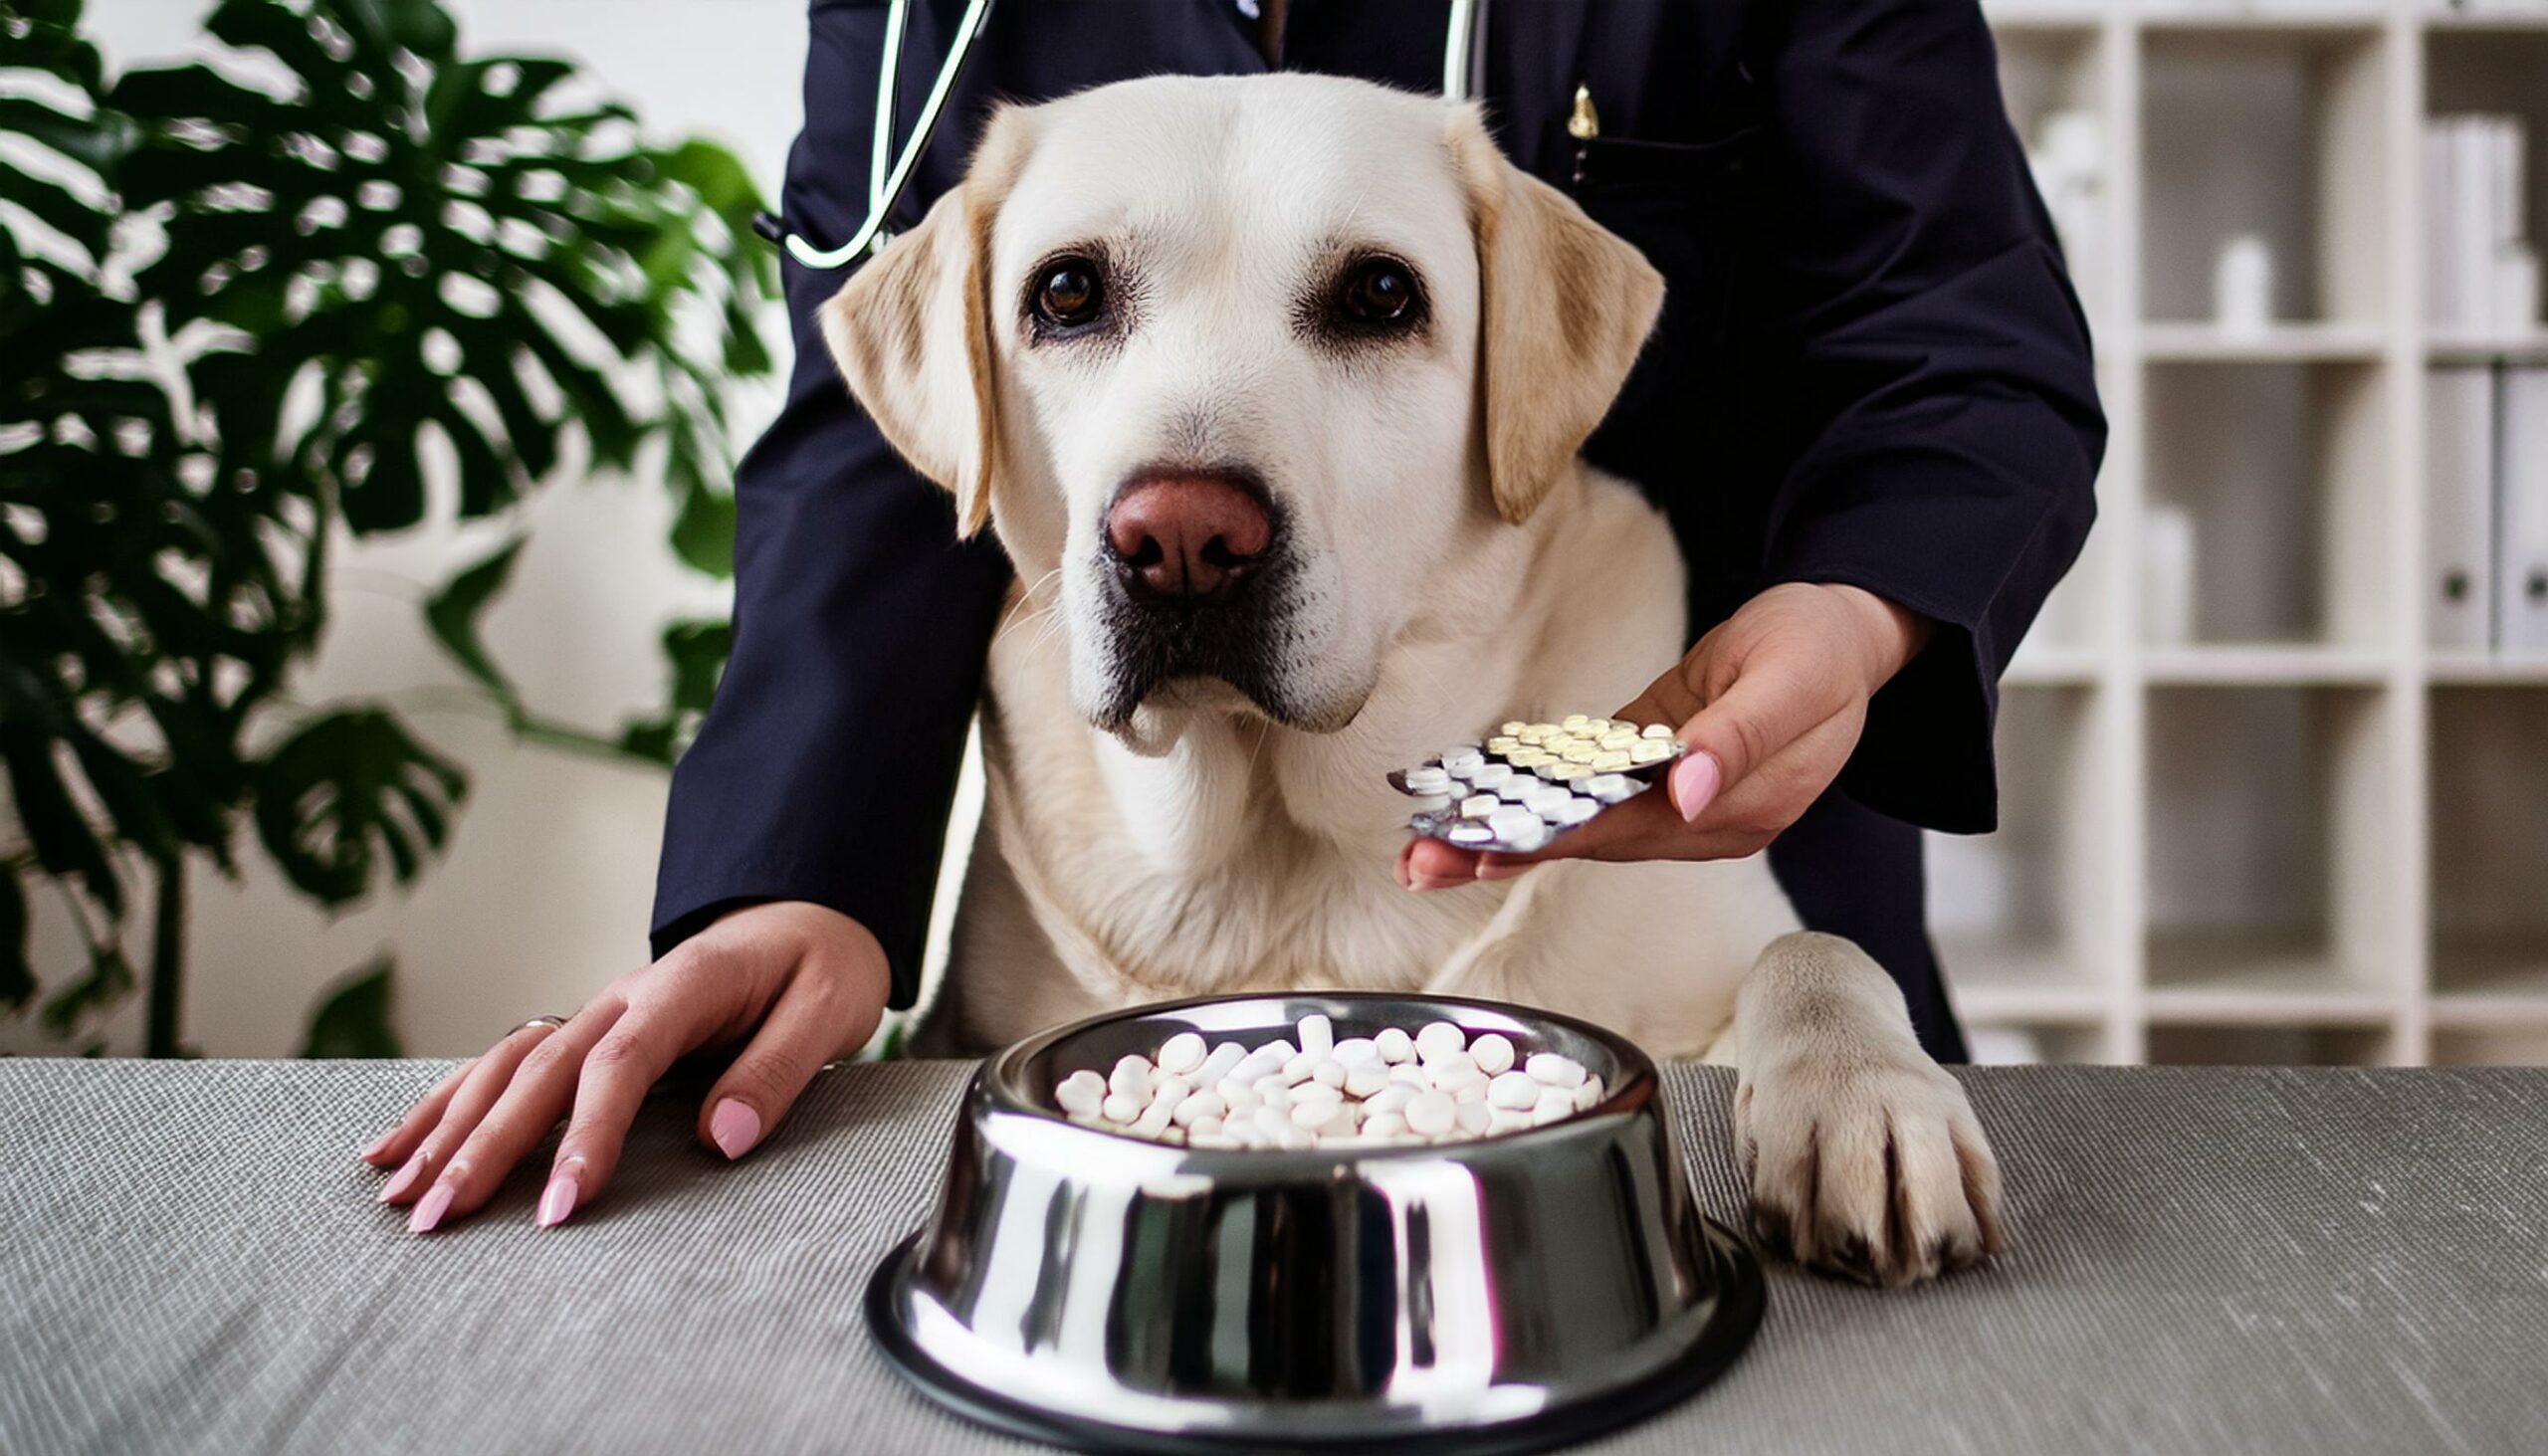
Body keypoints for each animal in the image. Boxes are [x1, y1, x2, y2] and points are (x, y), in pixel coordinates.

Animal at [825, 77, 1998, 1285]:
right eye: (1065, 292)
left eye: (1381, 294)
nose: (1183, 538)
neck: (1287, 851)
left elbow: (1815, 948)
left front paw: (1864, 1100)